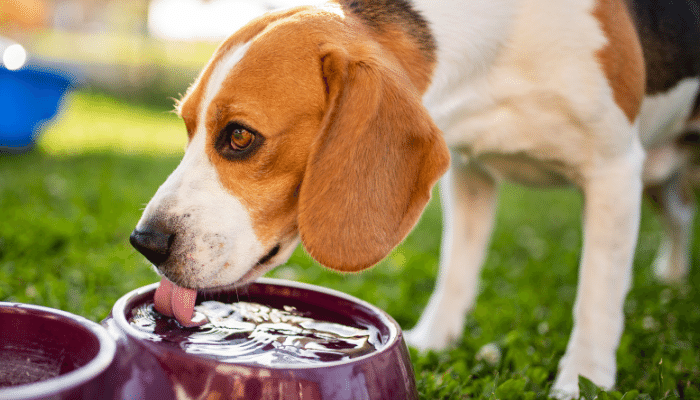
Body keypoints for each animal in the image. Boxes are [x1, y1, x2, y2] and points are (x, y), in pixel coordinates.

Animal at [130, 0, 700, 396]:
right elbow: (456, 268)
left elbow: (597, 296)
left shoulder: (613, 170)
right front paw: (434, 340)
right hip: (657, 176)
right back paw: (672, 275)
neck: (500, 50)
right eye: (187, 127)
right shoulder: (470, 171)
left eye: (240, 137)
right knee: (678, 215)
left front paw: (582, 381)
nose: (145, 242)